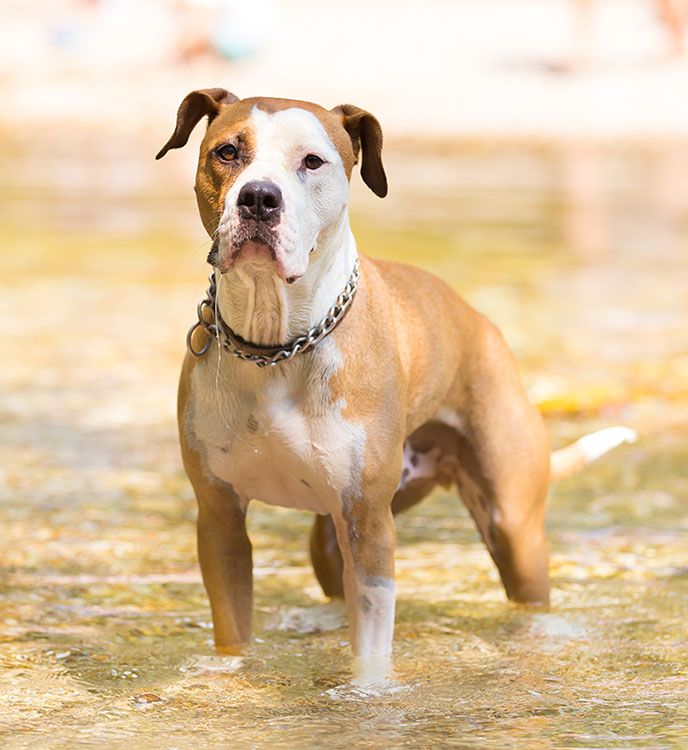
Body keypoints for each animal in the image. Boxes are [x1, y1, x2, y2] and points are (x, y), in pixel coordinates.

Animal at [155, 89, 636, 688]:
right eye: (227, 152)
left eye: (312, 161)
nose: (260, 198)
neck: (277, 344)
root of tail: (482, 324)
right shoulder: (220, 518)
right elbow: (233, 631)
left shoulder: (370, 527)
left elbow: (372, 647)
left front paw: (367, 695)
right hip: (329, 538)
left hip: (513, 529)